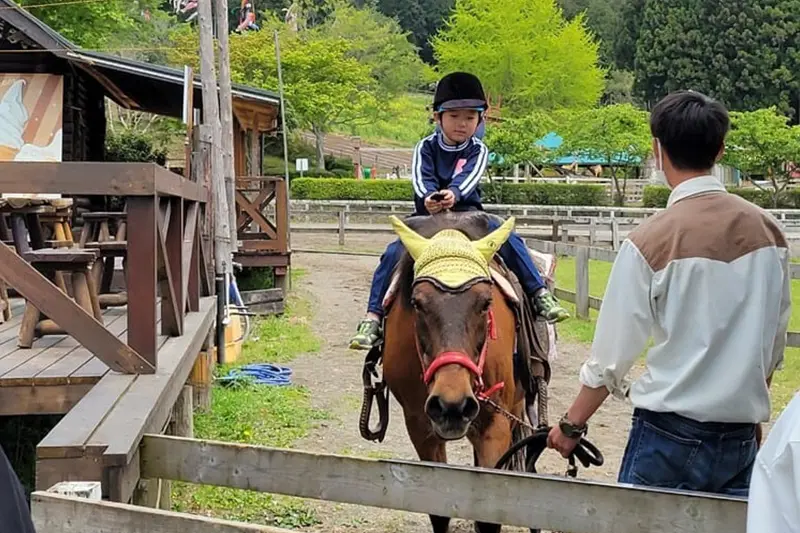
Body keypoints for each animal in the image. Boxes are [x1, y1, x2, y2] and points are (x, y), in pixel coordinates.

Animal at [382, 212, 532, 532]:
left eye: (486, 303)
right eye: (417, 303)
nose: (453, 404)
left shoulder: (496, 425)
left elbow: (488, 516)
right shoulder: (421, 427)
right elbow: (439, 511)